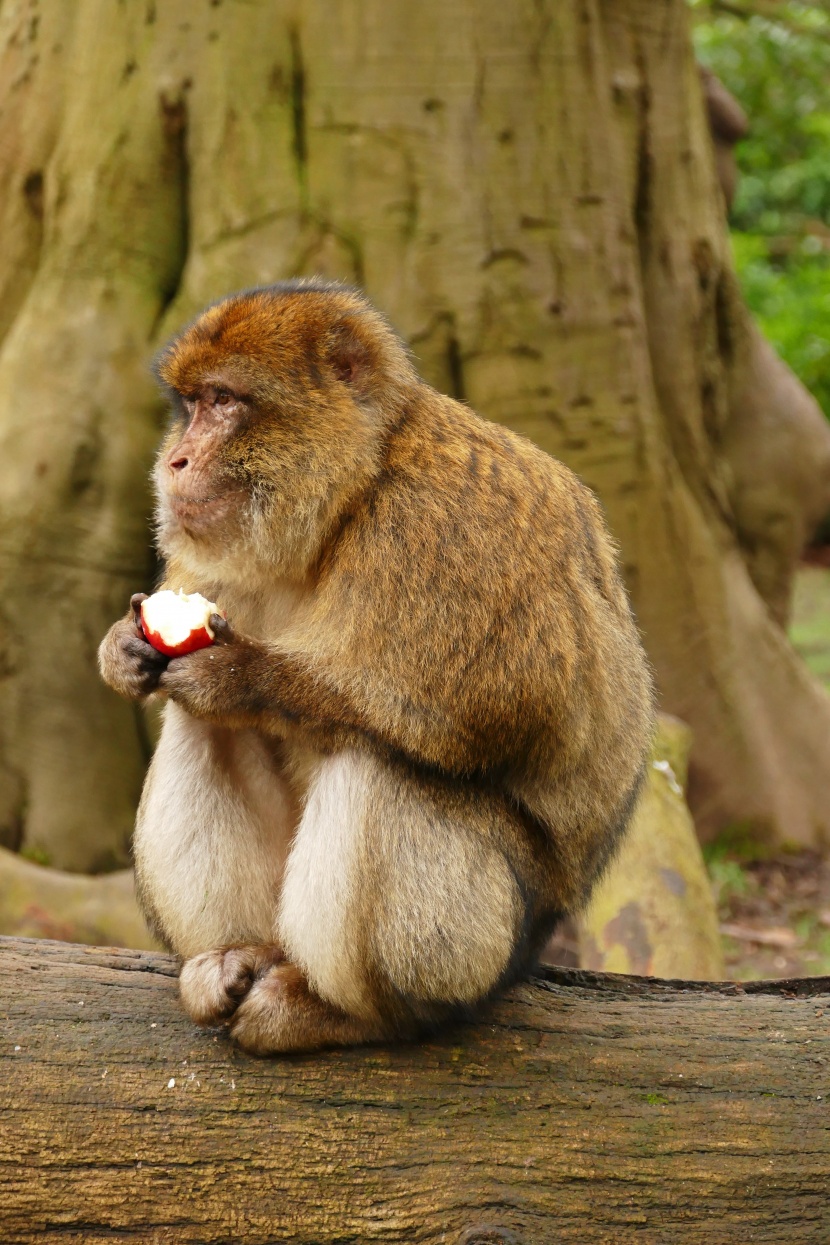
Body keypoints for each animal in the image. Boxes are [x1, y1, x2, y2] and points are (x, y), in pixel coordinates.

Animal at [97, 280, 657, 1050]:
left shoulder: (443, 525)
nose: (176, 460)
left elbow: (500, 707)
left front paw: (235, 676)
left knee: (378, 763)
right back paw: (238, 953)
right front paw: (120, 650)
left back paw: (345, 1011)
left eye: (224, 401)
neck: (349, 498)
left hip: (487, 947)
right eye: (191, 406)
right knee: (205, 728)